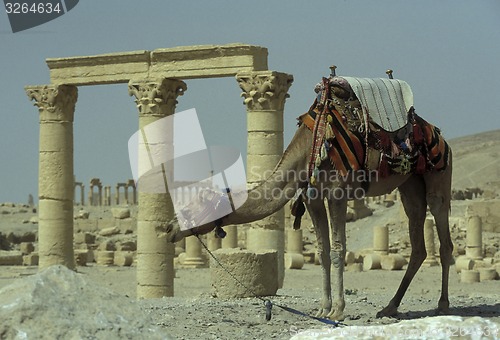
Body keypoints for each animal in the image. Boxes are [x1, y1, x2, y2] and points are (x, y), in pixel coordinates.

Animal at [165, 75, 454, 322]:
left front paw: (338, 310)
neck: (309, 150)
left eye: (191, 208)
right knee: (418, 243)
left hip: (439, 175)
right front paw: (323, 308)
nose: (169, 228)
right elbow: (322, 251)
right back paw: (390, 307)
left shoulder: (337, 193)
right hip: (410, 185)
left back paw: (442, 305)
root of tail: (440, 135)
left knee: (443, 236)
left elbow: (338, 250)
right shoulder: (313, 197)